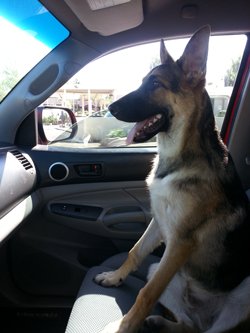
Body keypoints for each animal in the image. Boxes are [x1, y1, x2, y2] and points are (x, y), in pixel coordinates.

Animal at [94, 26, 250, 332]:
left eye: (155, 84)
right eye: (143, 81)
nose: (111, 108)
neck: (180, 156)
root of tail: (206, 313)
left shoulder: (180, 242)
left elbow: (146, 293)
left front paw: (124, 326)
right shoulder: (159, 222)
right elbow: (135, 252)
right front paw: (115, 277)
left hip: (242, 296)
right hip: (163, 271)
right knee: (190, 326)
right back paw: (159, 321)